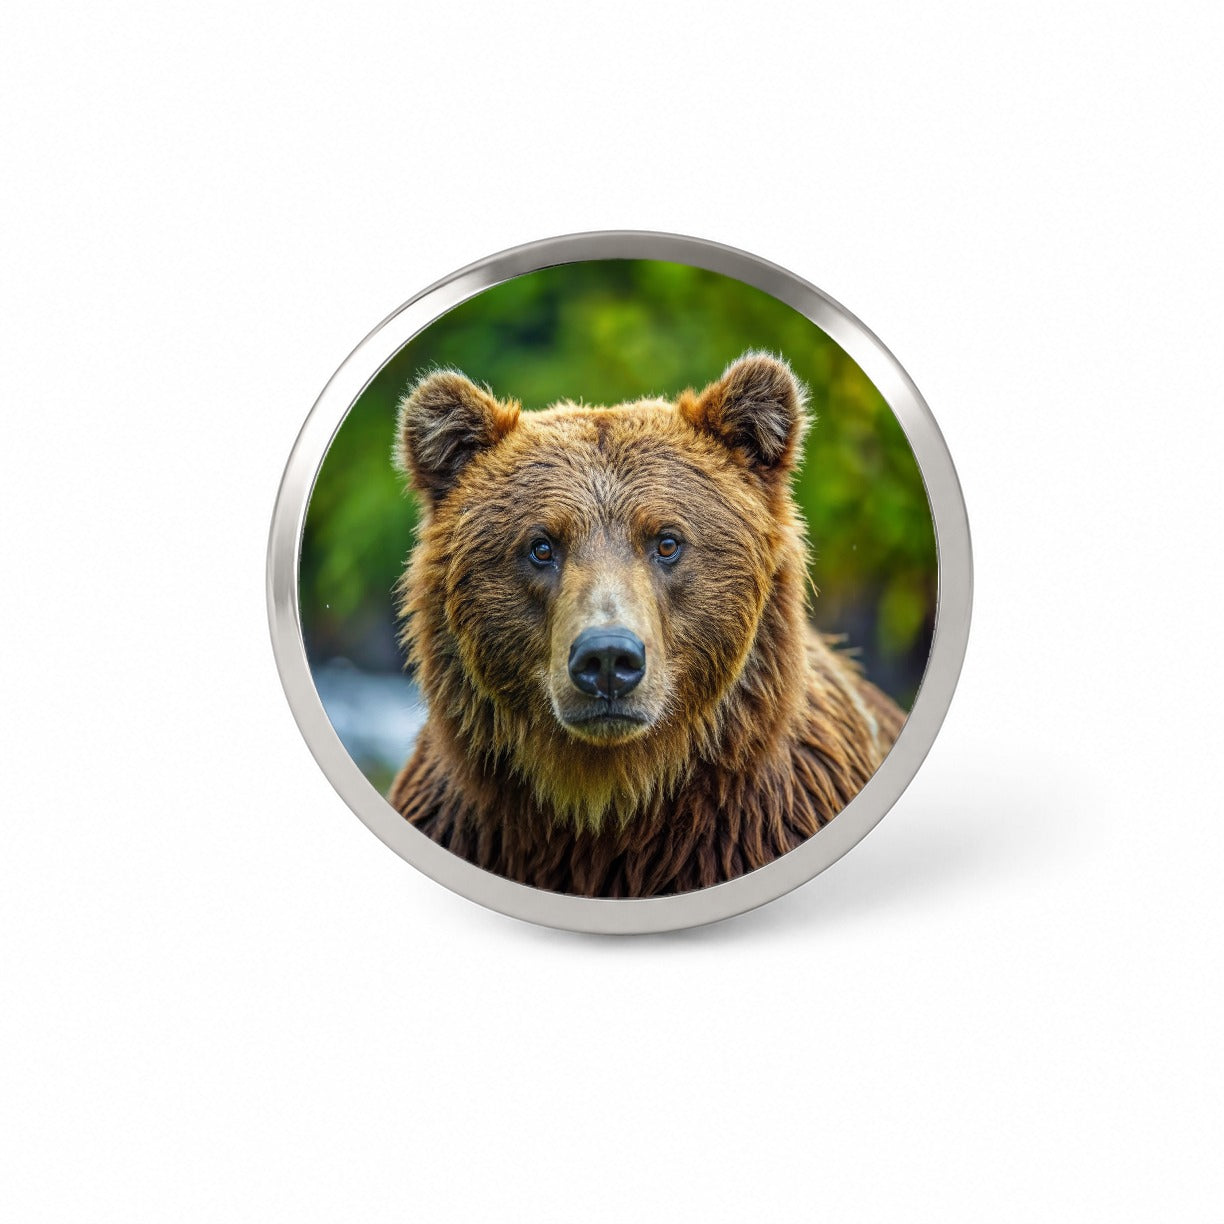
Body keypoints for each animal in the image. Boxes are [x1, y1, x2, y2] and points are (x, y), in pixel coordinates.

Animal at [388, 352, 906, 898]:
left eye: (667, 541)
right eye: (541, 546)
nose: (607, 658)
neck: (614, 796)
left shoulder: (762, 824)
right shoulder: (466, 827)